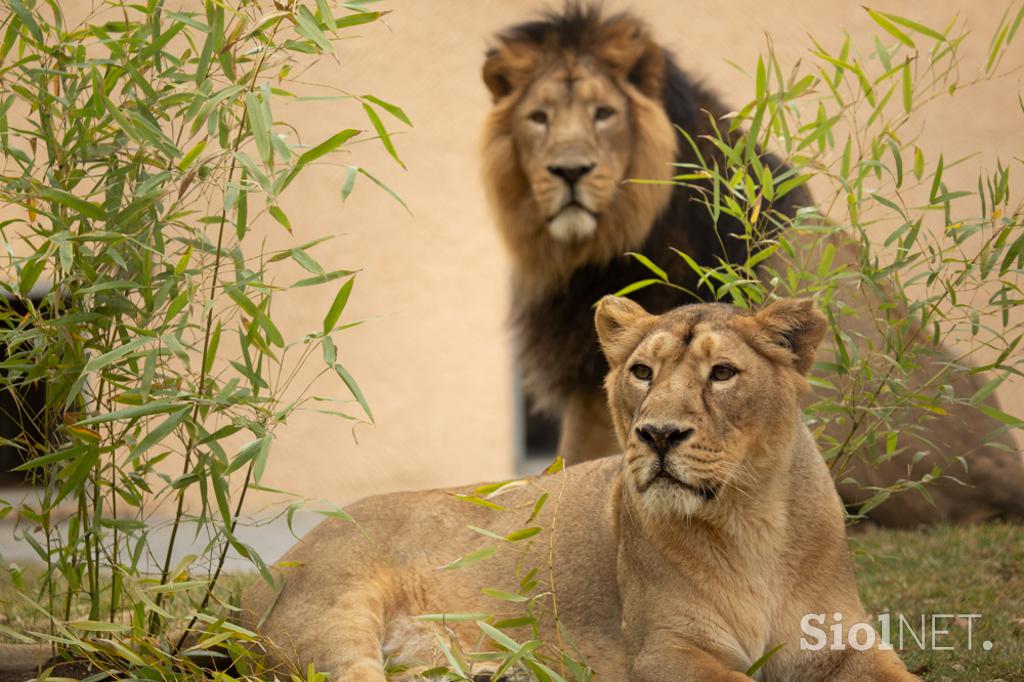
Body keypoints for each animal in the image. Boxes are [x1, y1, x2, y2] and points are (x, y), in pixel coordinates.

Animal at [241, 296, 921, 679]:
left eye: (723, 373)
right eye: (642, 372)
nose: (659, 434)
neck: (751, 520)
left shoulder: (843, 642)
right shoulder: (666, 651)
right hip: (335, 613)